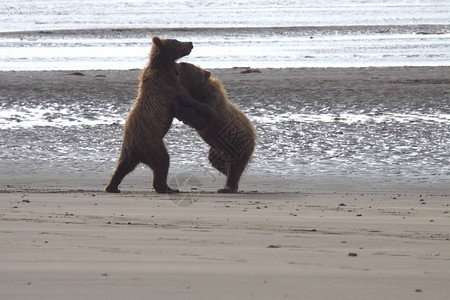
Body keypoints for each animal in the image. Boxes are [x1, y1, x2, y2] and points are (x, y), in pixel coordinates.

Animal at [107, 36, 197, 193]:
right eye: (175, 41)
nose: (190, 43)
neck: (164, 64)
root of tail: (137, 152)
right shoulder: (168, 84)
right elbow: (184, 96)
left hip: (128, 150)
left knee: (122, 167)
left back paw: (112, 187)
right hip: (151, 142)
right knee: (163, 161)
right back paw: (167, 188)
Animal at [175, 62, 255, 193]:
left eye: (184, 65)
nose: (177, 63)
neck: (198, 91)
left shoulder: (213, 107)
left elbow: (201, 119)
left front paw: (182, 107)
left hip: (238, 144)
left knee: (235, 167)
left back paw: (229, 187)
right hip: (218, 150)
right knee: (217, 162)